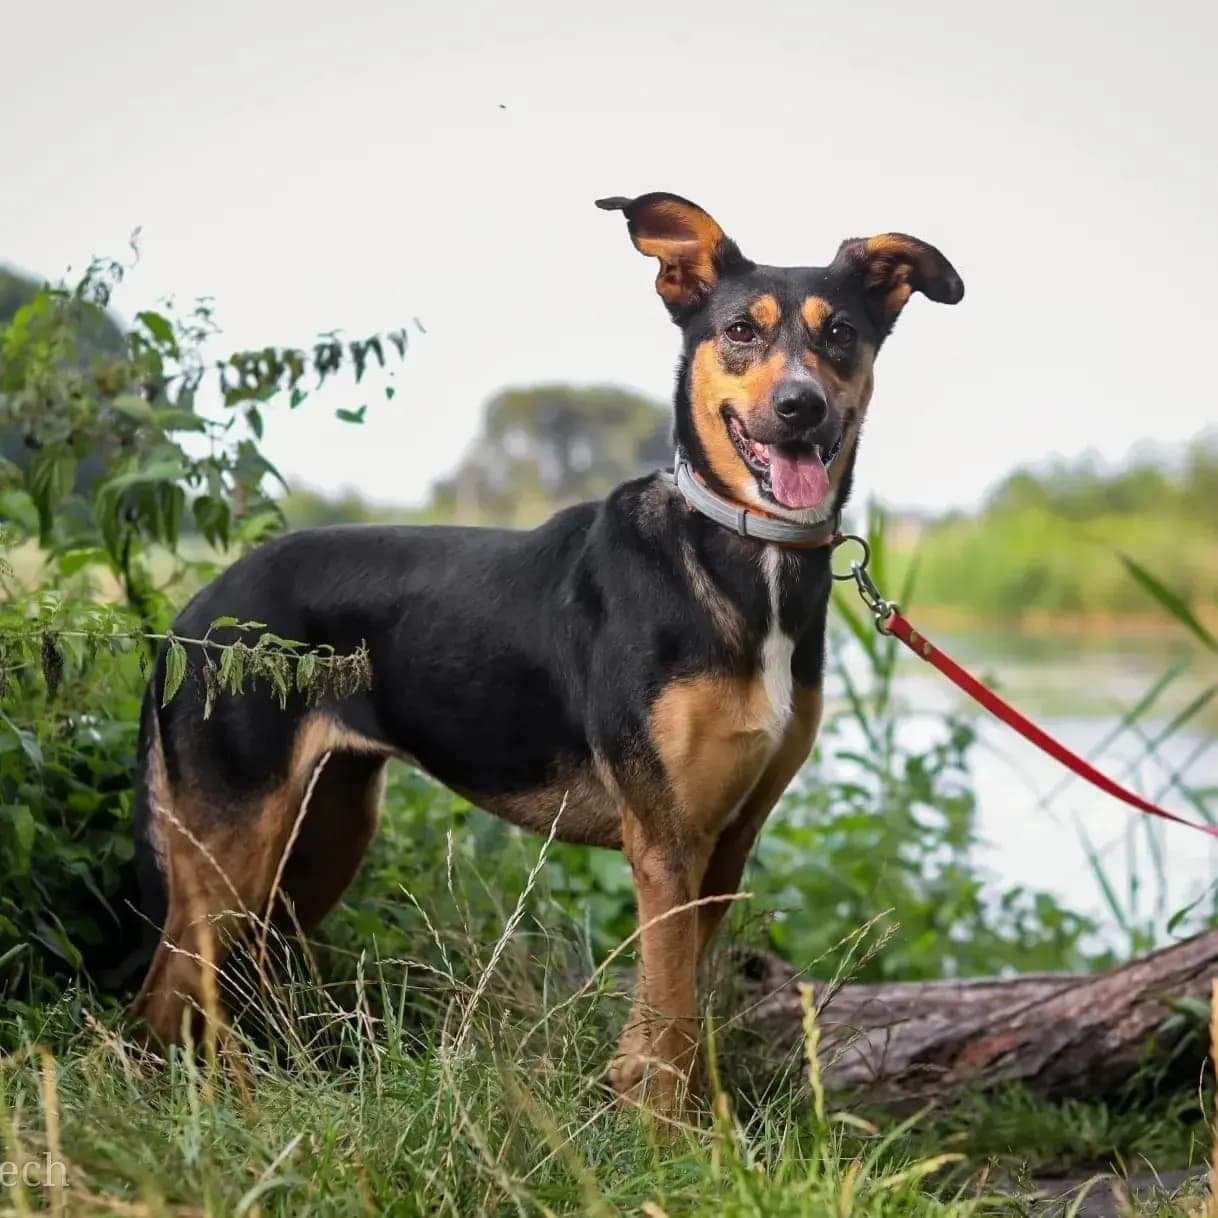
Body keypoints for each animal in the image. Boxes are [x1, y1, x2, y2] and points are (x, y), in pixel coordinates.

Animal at [133, 194, 964, 1115]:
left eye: (841, 333)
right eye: (741, 330)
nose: (800, 407)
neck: (742, 556)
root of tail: (191, 616)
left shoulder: (727, 842)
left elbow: (669, 1016)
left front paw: (656, 1111)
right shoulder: (665, 840)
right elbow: (672, 1018)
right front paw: (670, 1137)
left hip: (323, 834)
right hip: (234, 845)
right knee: (169, 994)